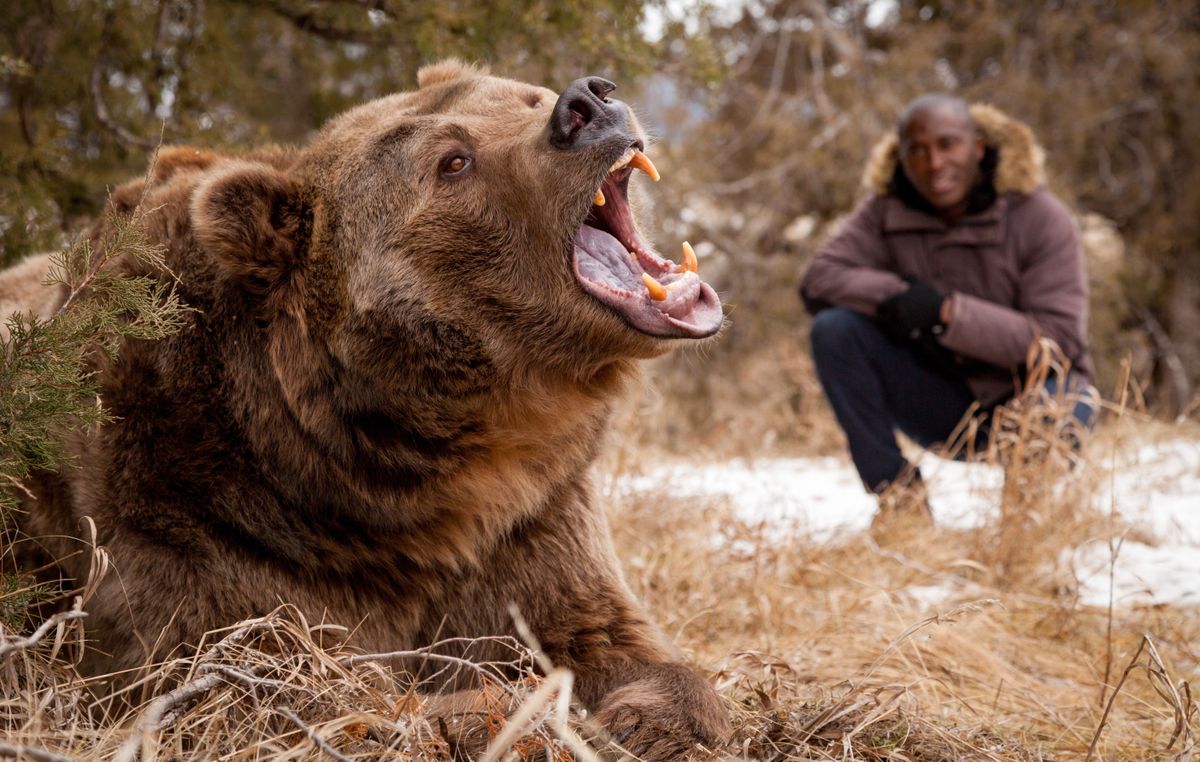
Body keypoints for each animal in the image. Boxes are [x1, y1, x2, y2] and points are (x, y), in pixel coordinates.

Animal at [0, 61, 729, 758]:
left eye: (525, 95)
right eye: (453, 162)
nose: (585, 104)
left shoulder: (529, 516)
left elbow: (604, 635)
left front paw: (647, 719)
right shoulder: (200, 517)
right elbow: (275, 683)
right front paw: (498, 710)